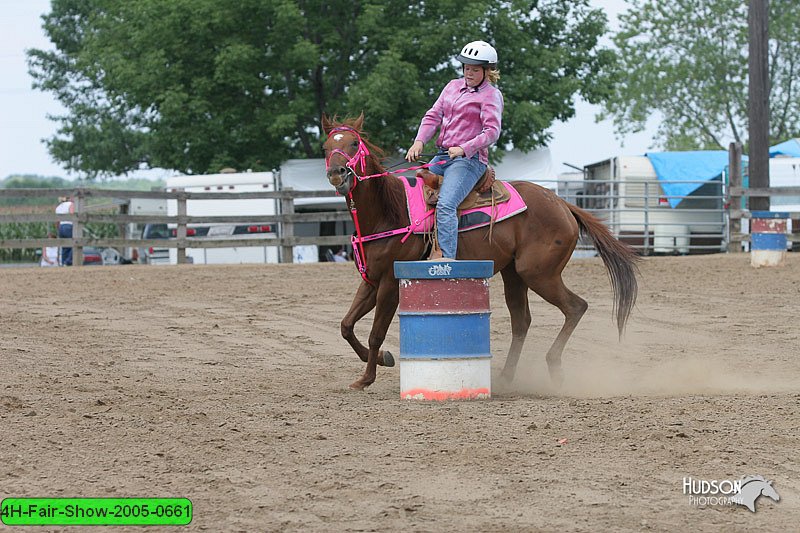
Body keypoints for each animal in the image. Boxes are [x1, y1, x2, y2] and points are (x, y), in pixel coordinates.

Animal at [318, 115, 636, 390]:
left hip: (539, 274)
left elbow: (376, 333)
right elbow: (346, 325)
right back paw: (507, 377)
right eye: (327, 146)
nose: (336, 173)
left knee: (575, 307)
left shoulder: (389, 284)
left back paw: (554, 367)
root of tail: (562, 204)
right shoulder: (371, 280)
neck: (389, 211)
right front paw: (382, 360)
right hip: (514, 274)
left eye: (353, 144)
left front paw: (366, 378)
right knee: (522, 321)